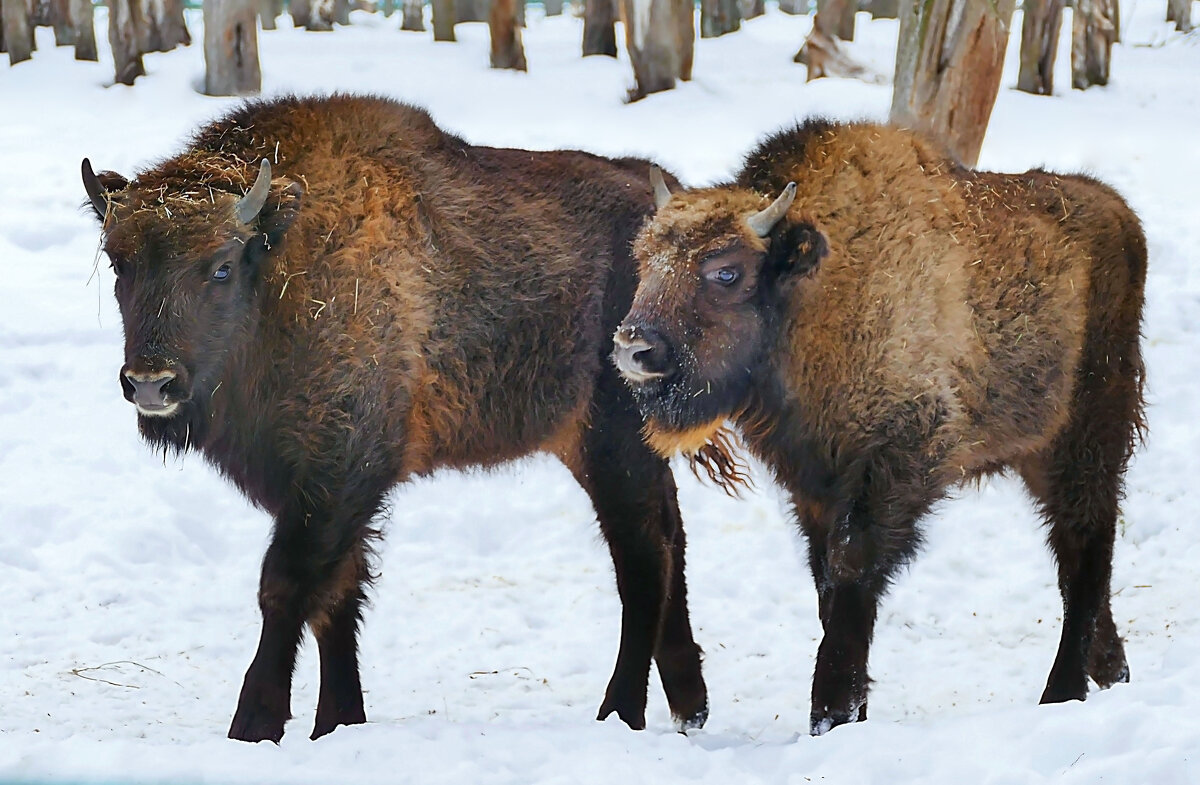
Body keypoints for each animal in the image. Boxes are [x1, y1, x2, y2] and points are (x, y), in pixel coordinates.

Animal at [82, 92, 710, 744]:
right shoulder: (311, 484)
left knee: (643, 558)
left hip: (612, 441)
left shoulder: (341, 468)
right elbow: (337, 597)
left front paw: (255, 724)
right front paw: (337, 721)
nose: (151, 381)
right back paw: (689, 705)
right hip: (593, 445)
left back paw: (620, 712)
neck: (284, 268)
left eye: (221, 266)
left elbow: (288, 584)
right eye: (119, 264)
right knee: (670, 536)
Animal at [614, 118, 1147, 739]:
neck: (816, 294)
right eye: (645, 260)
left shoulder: (895, 461)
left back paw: (1061, 692)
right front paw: (852, 712)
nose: (633, 347)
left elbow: (852, 571)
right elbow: (826, 581)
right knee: (1077, 551)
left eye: (726, 271)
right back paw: (1113, 672)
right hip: (1038, 452)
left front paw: (831, 714)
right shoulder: (814, 484)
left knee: (1085, 545)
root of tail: (1121, 215)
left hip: (1087, 436)